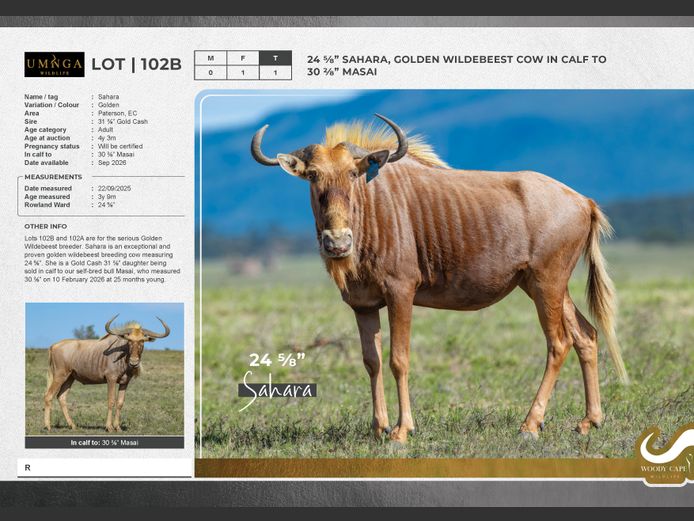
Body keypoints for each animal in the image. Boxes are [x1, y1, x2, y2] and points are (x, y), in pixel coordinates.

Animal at [250, 114, 628, 443]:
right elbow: (372, 362)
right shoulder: (363, 304)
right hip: (542, 286)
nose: (337, 243)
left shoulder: (400, 292)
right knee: (586, 335)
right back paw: (589, 421)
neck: (370, 210)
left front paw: (402, 431)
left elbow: (398, 359)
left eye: (353, 174)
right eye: (313, 176)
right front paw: (378, 428)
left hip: (546, 282)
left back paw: (530, 425)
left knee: (559, 343)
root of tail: (584, 201)